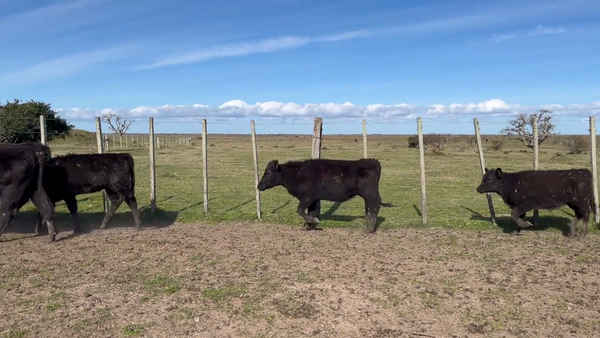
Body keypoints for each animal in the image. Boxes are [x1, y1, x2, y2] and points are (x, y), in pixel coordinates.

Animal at [256, 158, 394, 232]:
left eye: (268, 173)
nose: (258, 185)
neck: (297, 174)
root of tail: (372, 161)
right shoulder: (313, 200)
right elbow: (311, 212)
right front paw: (309, 226)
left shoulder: (307, 198)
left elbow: (300, 210)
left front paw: (313, 222)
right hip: (368, 196)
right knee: (371, 209)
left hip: (369, 194)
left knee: (375, 207)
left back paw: (369, 229)